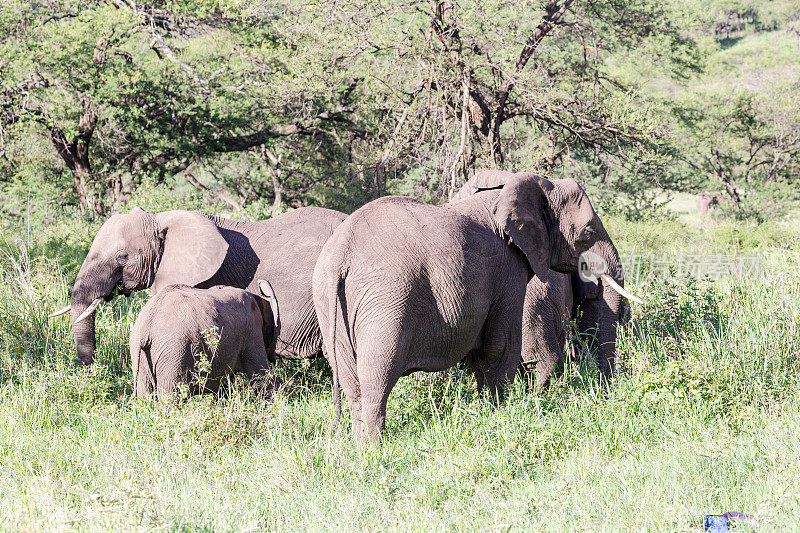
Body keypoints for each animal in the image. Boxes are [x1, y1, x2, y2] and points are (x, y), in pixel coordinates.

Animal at [130, 282, 280, 400]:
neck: (258, 298)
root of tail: (146, 324)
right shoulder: (251, 331)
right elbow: (261, 376)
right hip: (174, 353)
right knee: (171, 396)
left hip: (144, 357)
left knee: (145, 396)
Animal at [312, 172, 644, 438]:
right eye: (588, 232)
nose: (606, 396)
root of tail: (342, 253)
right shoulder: (508, 269)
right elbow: (501, 345)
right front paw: (498, 414)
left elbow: (480, 353)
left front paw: (485, 411)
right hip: (385, 300)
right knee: (376, 377)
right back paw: (375, 448)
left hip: (330, 303)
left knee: (352, 382)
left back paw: (359, 448)